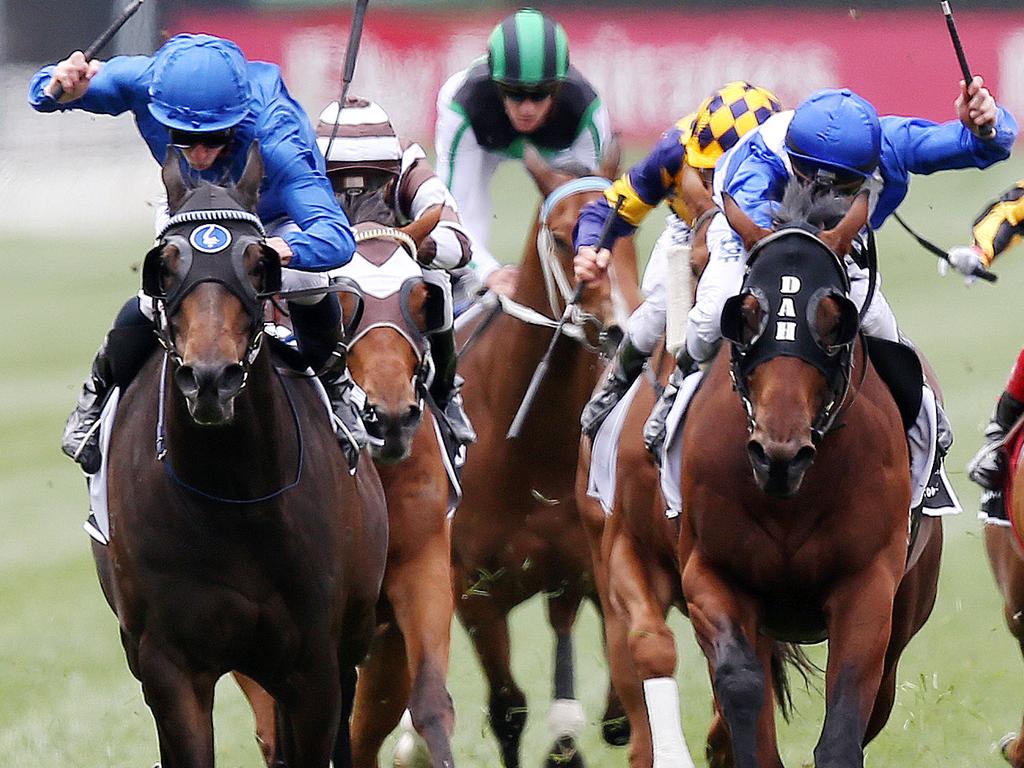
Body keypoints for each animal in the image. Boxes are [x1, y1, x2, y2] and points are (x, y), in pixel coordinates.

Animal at [90, 145, 387, 768]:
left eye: (257, 263)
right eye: (165, 266)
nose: (211, 379)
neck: (232, 498)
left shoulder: (314, 666)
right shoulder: (169, 666)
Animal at [454, 145, 638, 768]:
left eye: (630, 231)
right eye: (560, 237)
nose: (620, 327)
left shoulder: (579, 572)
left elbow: (604, 717)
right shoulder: (473, 590)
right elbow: (508, 710)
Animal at [679, 188, 942, 768]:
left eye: (833, 318)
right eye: (745, 313)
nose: (780, 454)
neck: (789, 499)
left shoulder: (869, 585)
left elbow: (844, 722)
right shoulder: (710, 573)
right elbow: (740, 684)